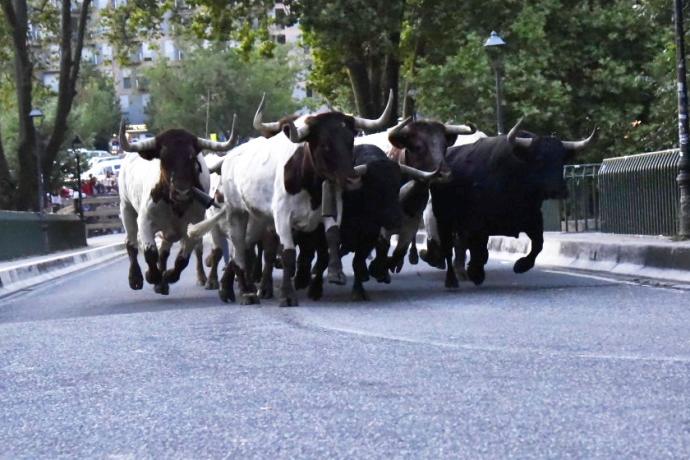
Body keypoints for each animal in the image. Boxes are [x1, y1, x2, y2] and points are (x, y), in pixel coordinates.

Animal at [430, 123, 592, 288]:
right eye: (539, 159)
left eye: (562, 161)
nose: (559, 190)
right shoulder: (478, 223)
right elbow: (480, 249)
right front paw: (476, 273)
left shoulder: (533, 218)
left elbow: (538, 245)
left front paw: (521, 265)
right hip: (443, 221)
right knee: (448, 249)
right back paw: (451, 279)